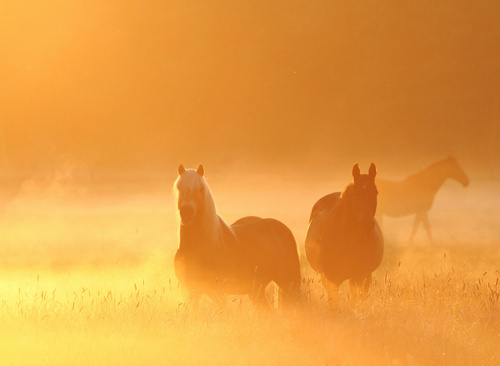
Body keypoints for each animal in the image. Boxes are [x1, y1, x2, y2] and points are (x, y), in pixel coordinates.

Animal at [173, 164, 300, 306]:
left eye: (200, 188)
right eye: (179, 188)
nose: (187, 212)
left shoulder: (217, 293)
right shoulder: (189, 290)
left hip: (289, 283)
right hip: (257, 290)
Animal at [304, 162, 382, 308]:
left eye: (375, 192)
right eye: (355, 193)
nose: (367, 225)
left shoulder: (363, 275)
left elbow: (358, 301)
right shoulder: (332, 278)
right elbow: (335, 304)